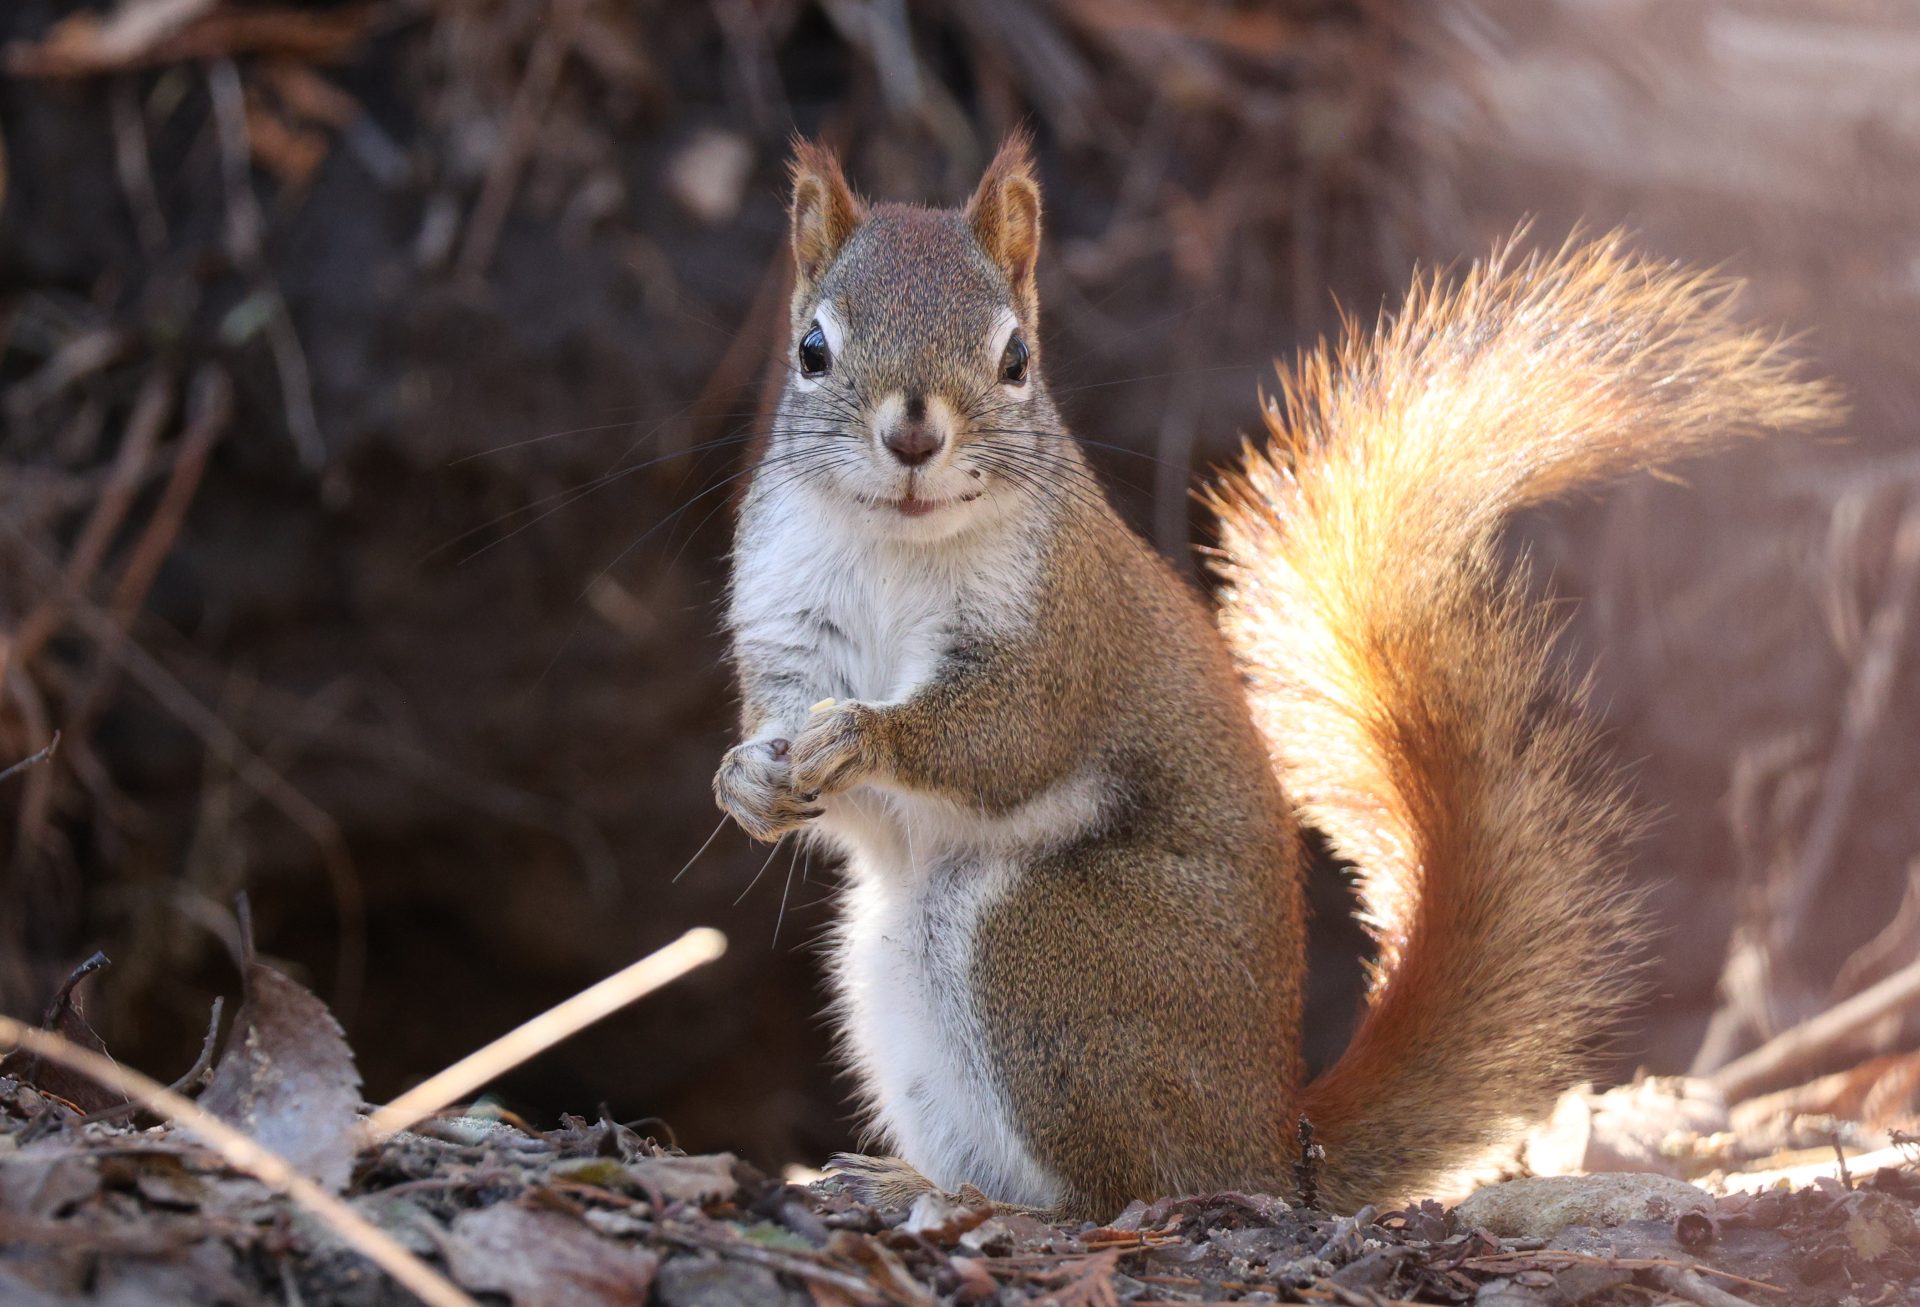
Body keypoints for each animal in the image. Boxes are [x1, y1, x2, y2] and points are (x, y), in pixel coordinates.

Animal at [712, 133, 1843, 1221]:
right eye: (812, 349)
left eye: (1016, 357)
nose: (913, 433)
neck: (895, 546)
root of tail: (1275, 1142)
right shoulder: (789, 623)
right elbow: (793, 736)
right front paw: (747, 779)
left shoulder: (1065, 626)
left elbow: (1009, 735)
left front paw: (868, 734)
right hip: (889, 976)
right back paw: (910, 1179)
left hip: (1043, 955)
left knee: (1120, 1190)